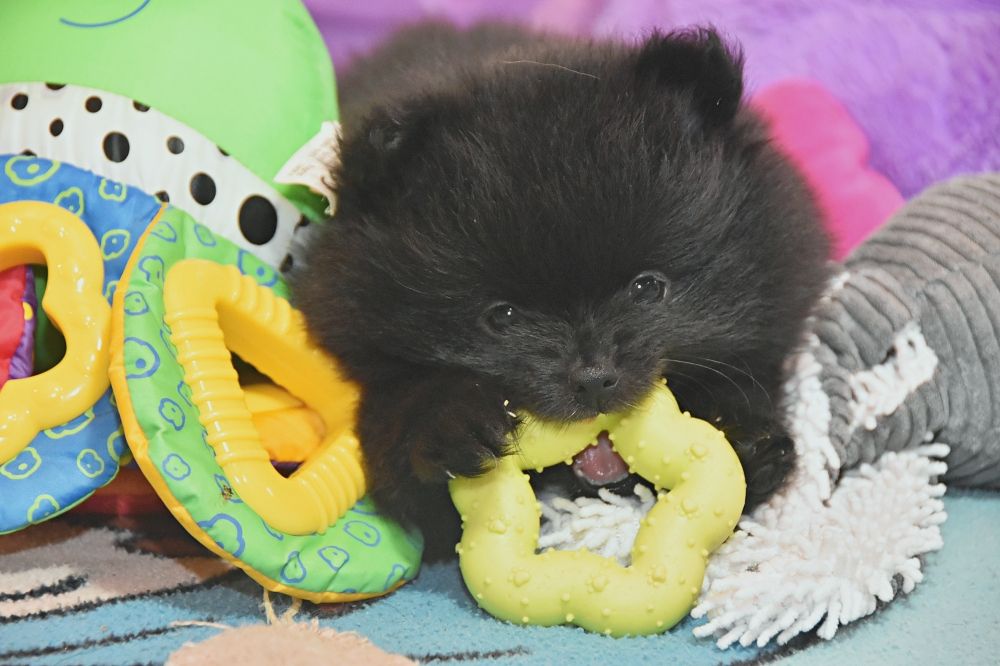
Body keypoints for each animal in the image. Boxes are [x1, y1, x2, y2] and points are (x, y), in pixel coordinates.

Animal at [291, 22, 830, 551]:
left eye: (647, 288)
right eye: (502, 316)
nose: (593, 377)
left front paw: (743, 435)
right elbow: (407, 444)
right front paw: (454, 420)